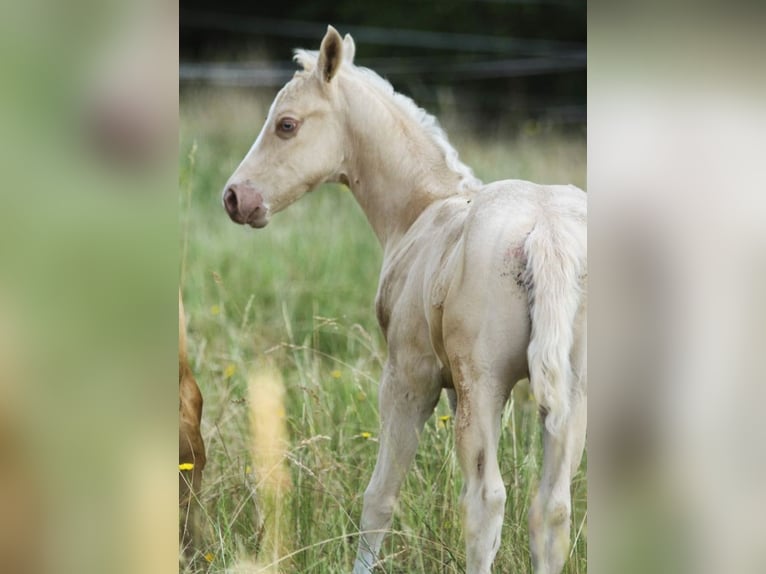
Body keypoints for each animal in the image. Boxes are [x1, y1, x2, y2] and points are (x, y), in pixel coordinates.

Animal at [222, 27, 588, 574]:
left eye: (286, 124)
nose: (235, 198)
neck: (423, 209)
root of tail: (547, 231)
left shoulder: (408, 376)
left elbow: (380, 496)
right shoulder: (457, 389)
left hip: (485, 382)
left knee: (487, 501)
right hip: (572, 392)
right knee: (553, 509)